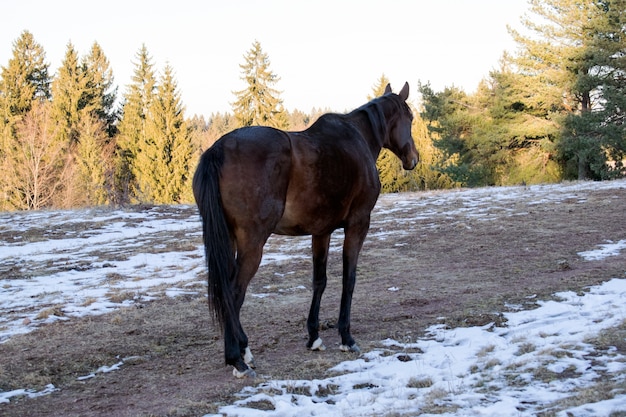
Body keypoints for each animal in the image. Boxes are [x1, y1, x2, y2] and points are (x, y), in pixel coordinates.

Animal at [193, 82, 416, 376]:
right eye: (410, 118)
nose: (413, 158)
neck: (357, 138)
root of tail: (219, 149)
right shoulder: (358, 224)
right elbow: (349, 278)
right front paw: (346, 338)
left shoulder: (321, 232)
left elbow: (319, 281)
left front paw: (314, 337)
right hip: (252, 243)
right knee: (234, 293)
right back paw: (237, 358)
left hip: (227, 239)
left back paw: (242, 350)